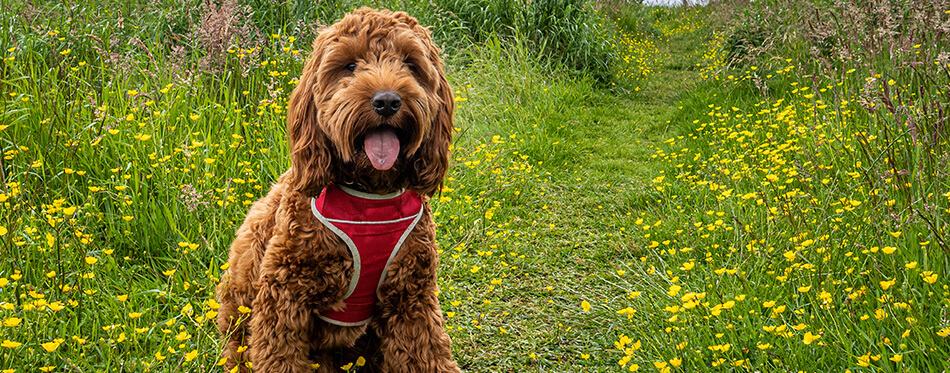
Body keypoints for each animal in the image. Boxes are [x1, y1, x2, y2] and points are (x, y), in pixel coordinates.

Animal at [214, 8, 460, 372]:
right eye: (350, 66)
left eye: (409, 63)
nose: (387, 101)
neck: (370, 195)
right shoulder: (284, 298)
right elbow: (280, 356)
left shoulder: (411, 298)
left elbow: (427, 354)